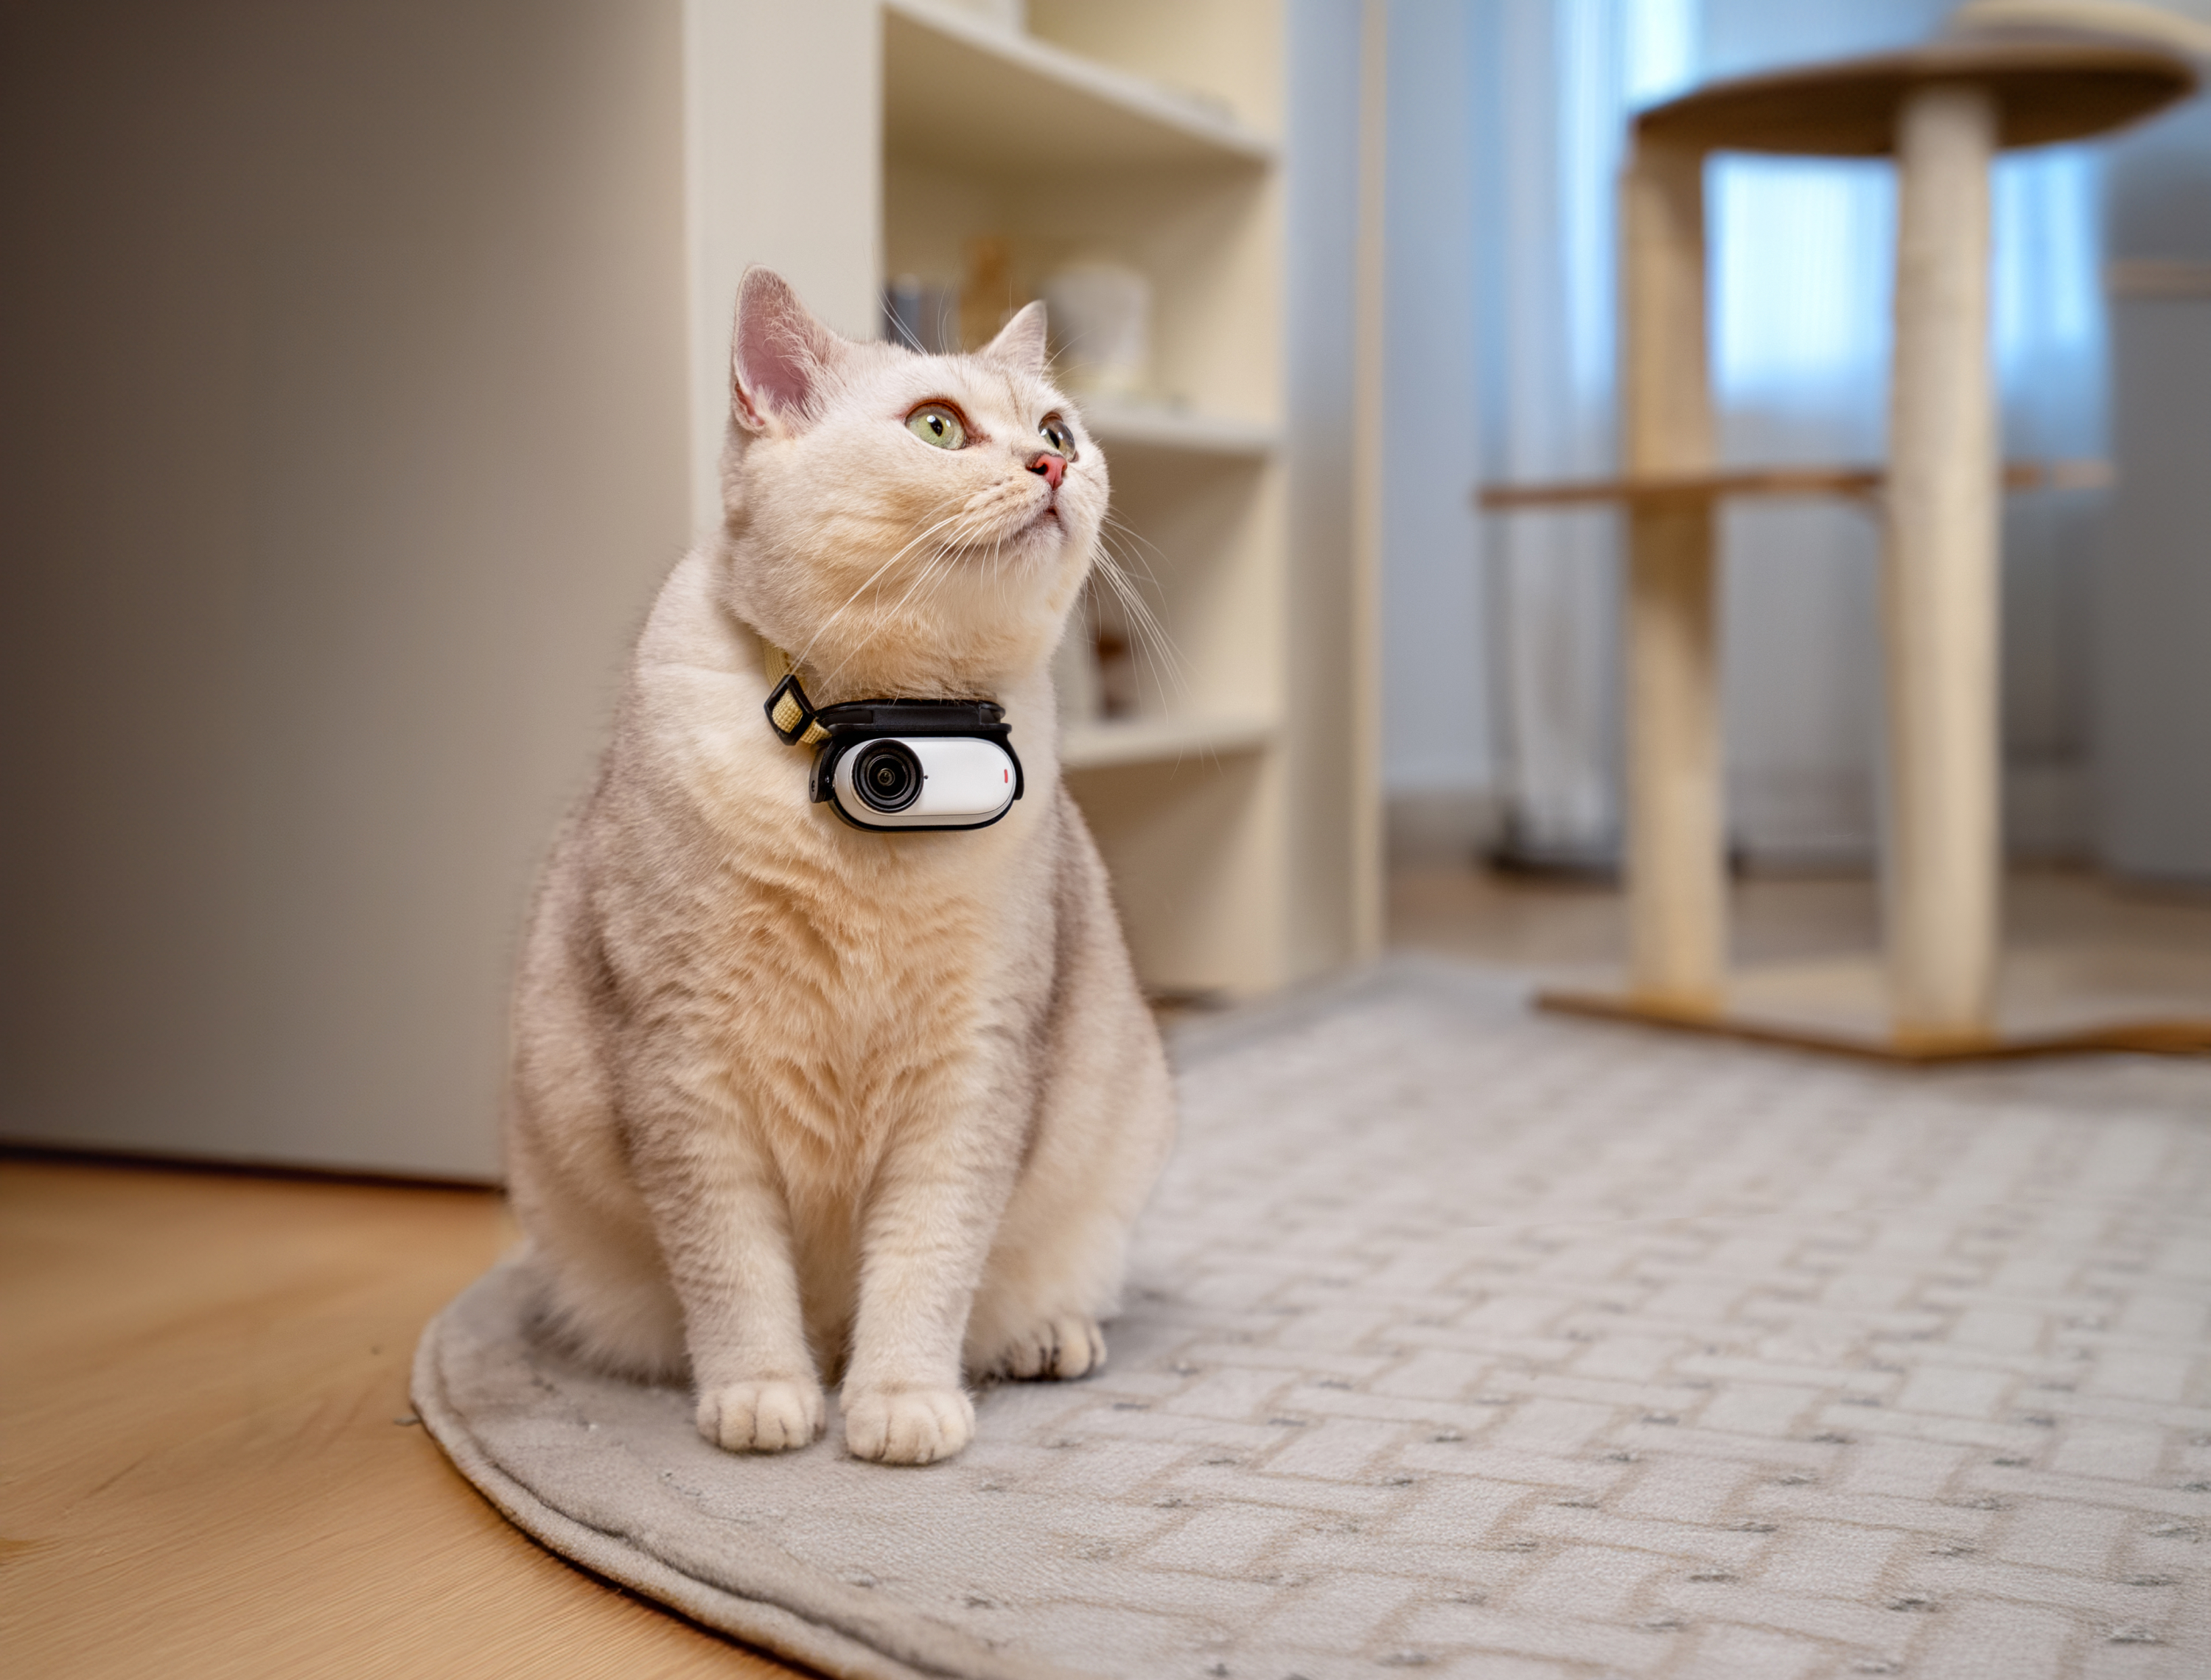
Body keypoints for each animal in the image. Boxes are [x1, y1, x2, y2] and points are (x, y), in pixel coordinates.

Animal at [506, 268, 1176, 1468]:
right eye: (938, 428)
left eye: (1058, 431)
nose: (1050, 466)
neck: (883, 731)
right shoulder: (686, 1073)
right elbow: (735, 1279)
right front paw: (763, 1396)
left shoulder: (971, 1075)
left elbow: (924, 1268)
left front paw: (901, 1403)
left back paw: (1042, 1338)